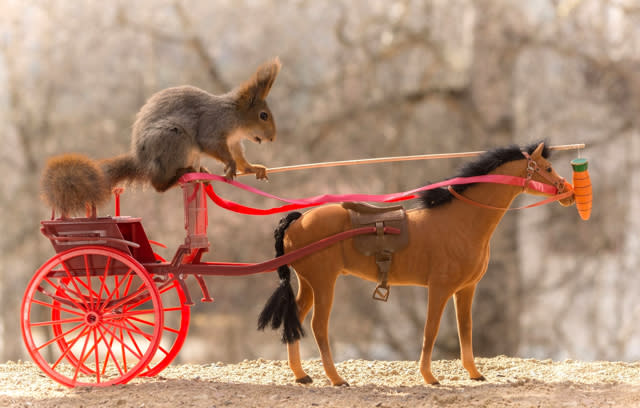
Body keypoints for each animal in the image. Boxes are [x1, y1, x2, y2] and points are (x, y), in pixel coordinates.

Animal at [40, 57, 280, 217]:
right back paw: (180, 174)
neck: (234, 116)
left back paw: (200, 171)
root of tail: (142, 163)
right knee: (159, 185)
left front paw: (253, 168)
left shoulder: (234, 141)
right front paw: (230, 166)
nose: (272, 139)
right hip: (175, 139)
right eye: (263, 115)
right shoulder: (212, 128)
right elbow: (215, 147)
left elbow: (241, 157)